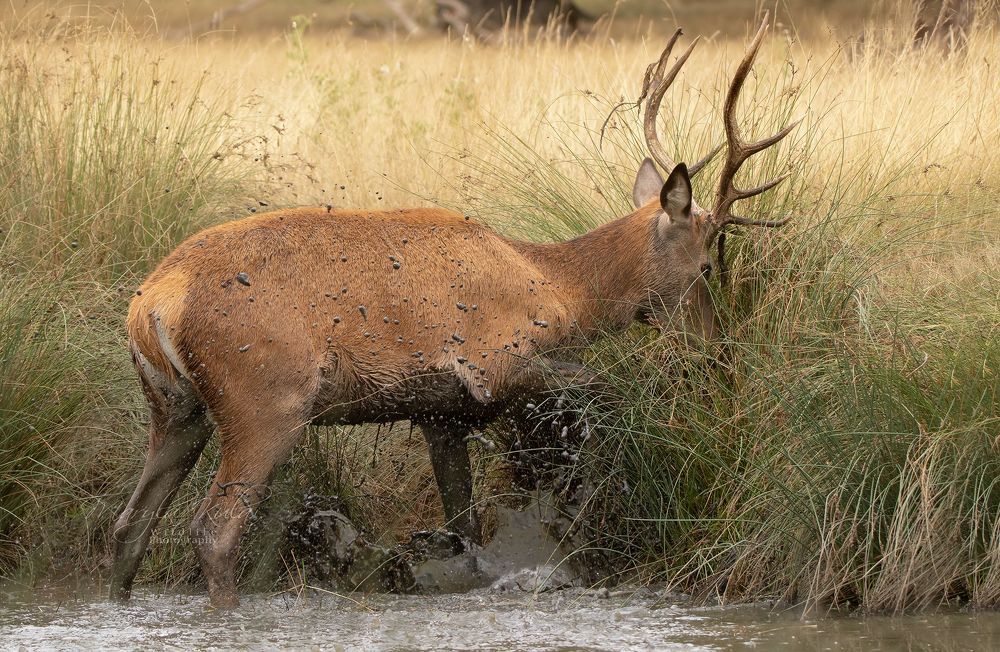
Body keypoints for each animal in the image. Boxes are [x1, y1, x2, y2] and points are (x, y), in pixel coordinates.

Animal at [109, 16, 797, 608]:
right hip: (264, 398)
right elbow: (601, 389)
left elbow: (463, 528)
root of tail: (154, 304)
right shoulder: (492, 361)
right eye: (707, 265)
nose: (718, 349)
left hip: (177, 408)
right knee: (214, 529)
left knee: (127, 528)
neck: (560, 290)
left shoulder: (440, 411)